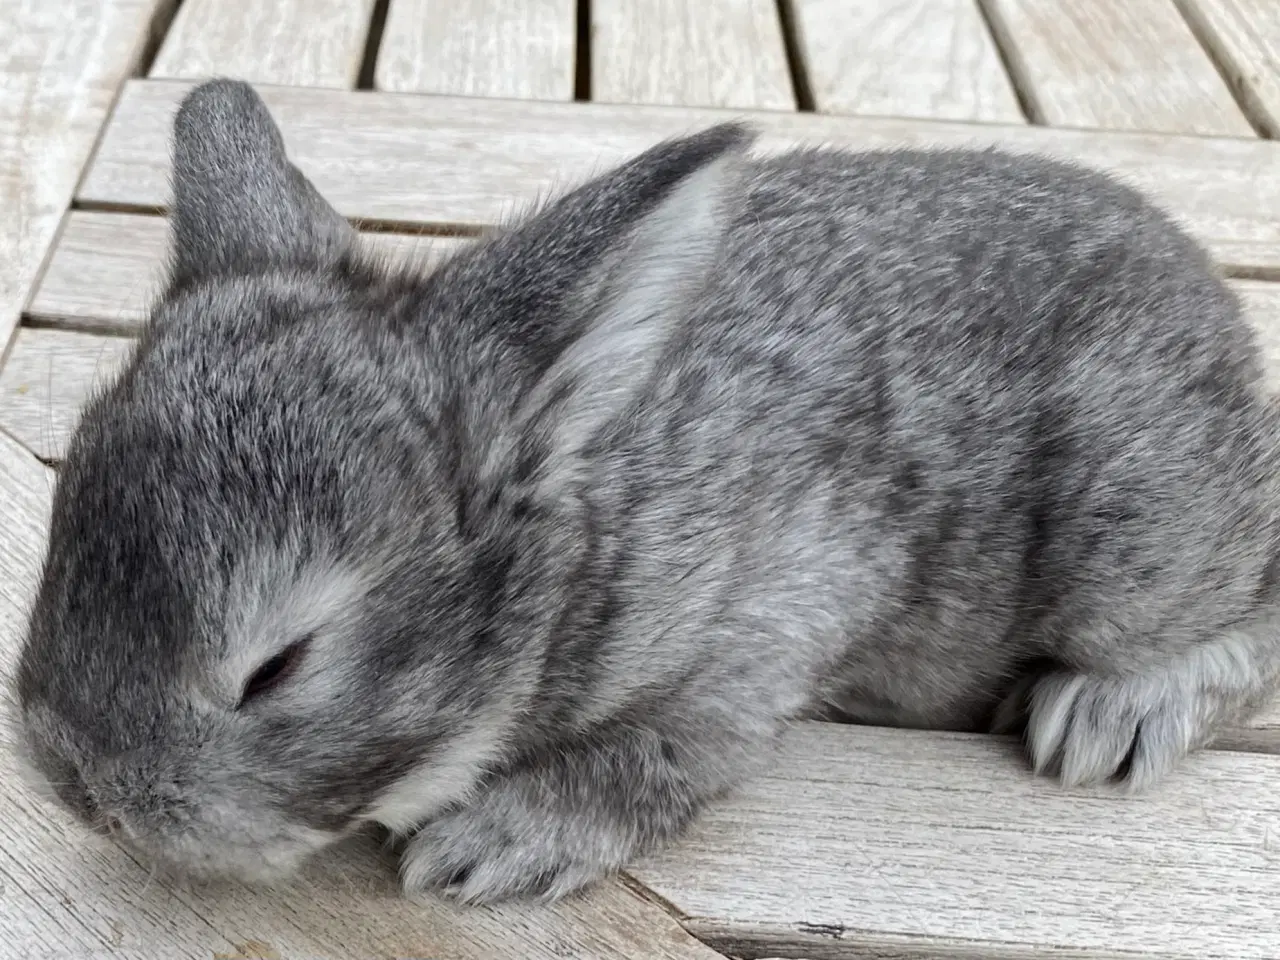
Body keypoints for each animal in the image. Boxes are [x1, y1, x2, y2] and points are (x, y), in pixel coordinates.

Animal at [10, 79, 1280, 906]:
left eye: (278, 666)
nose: (85, 790)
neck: (582, 524)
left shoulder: (762, 627)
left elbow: (664, 754)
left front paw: (495, 845)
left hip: (1134, 532)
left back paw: (1108, 717)